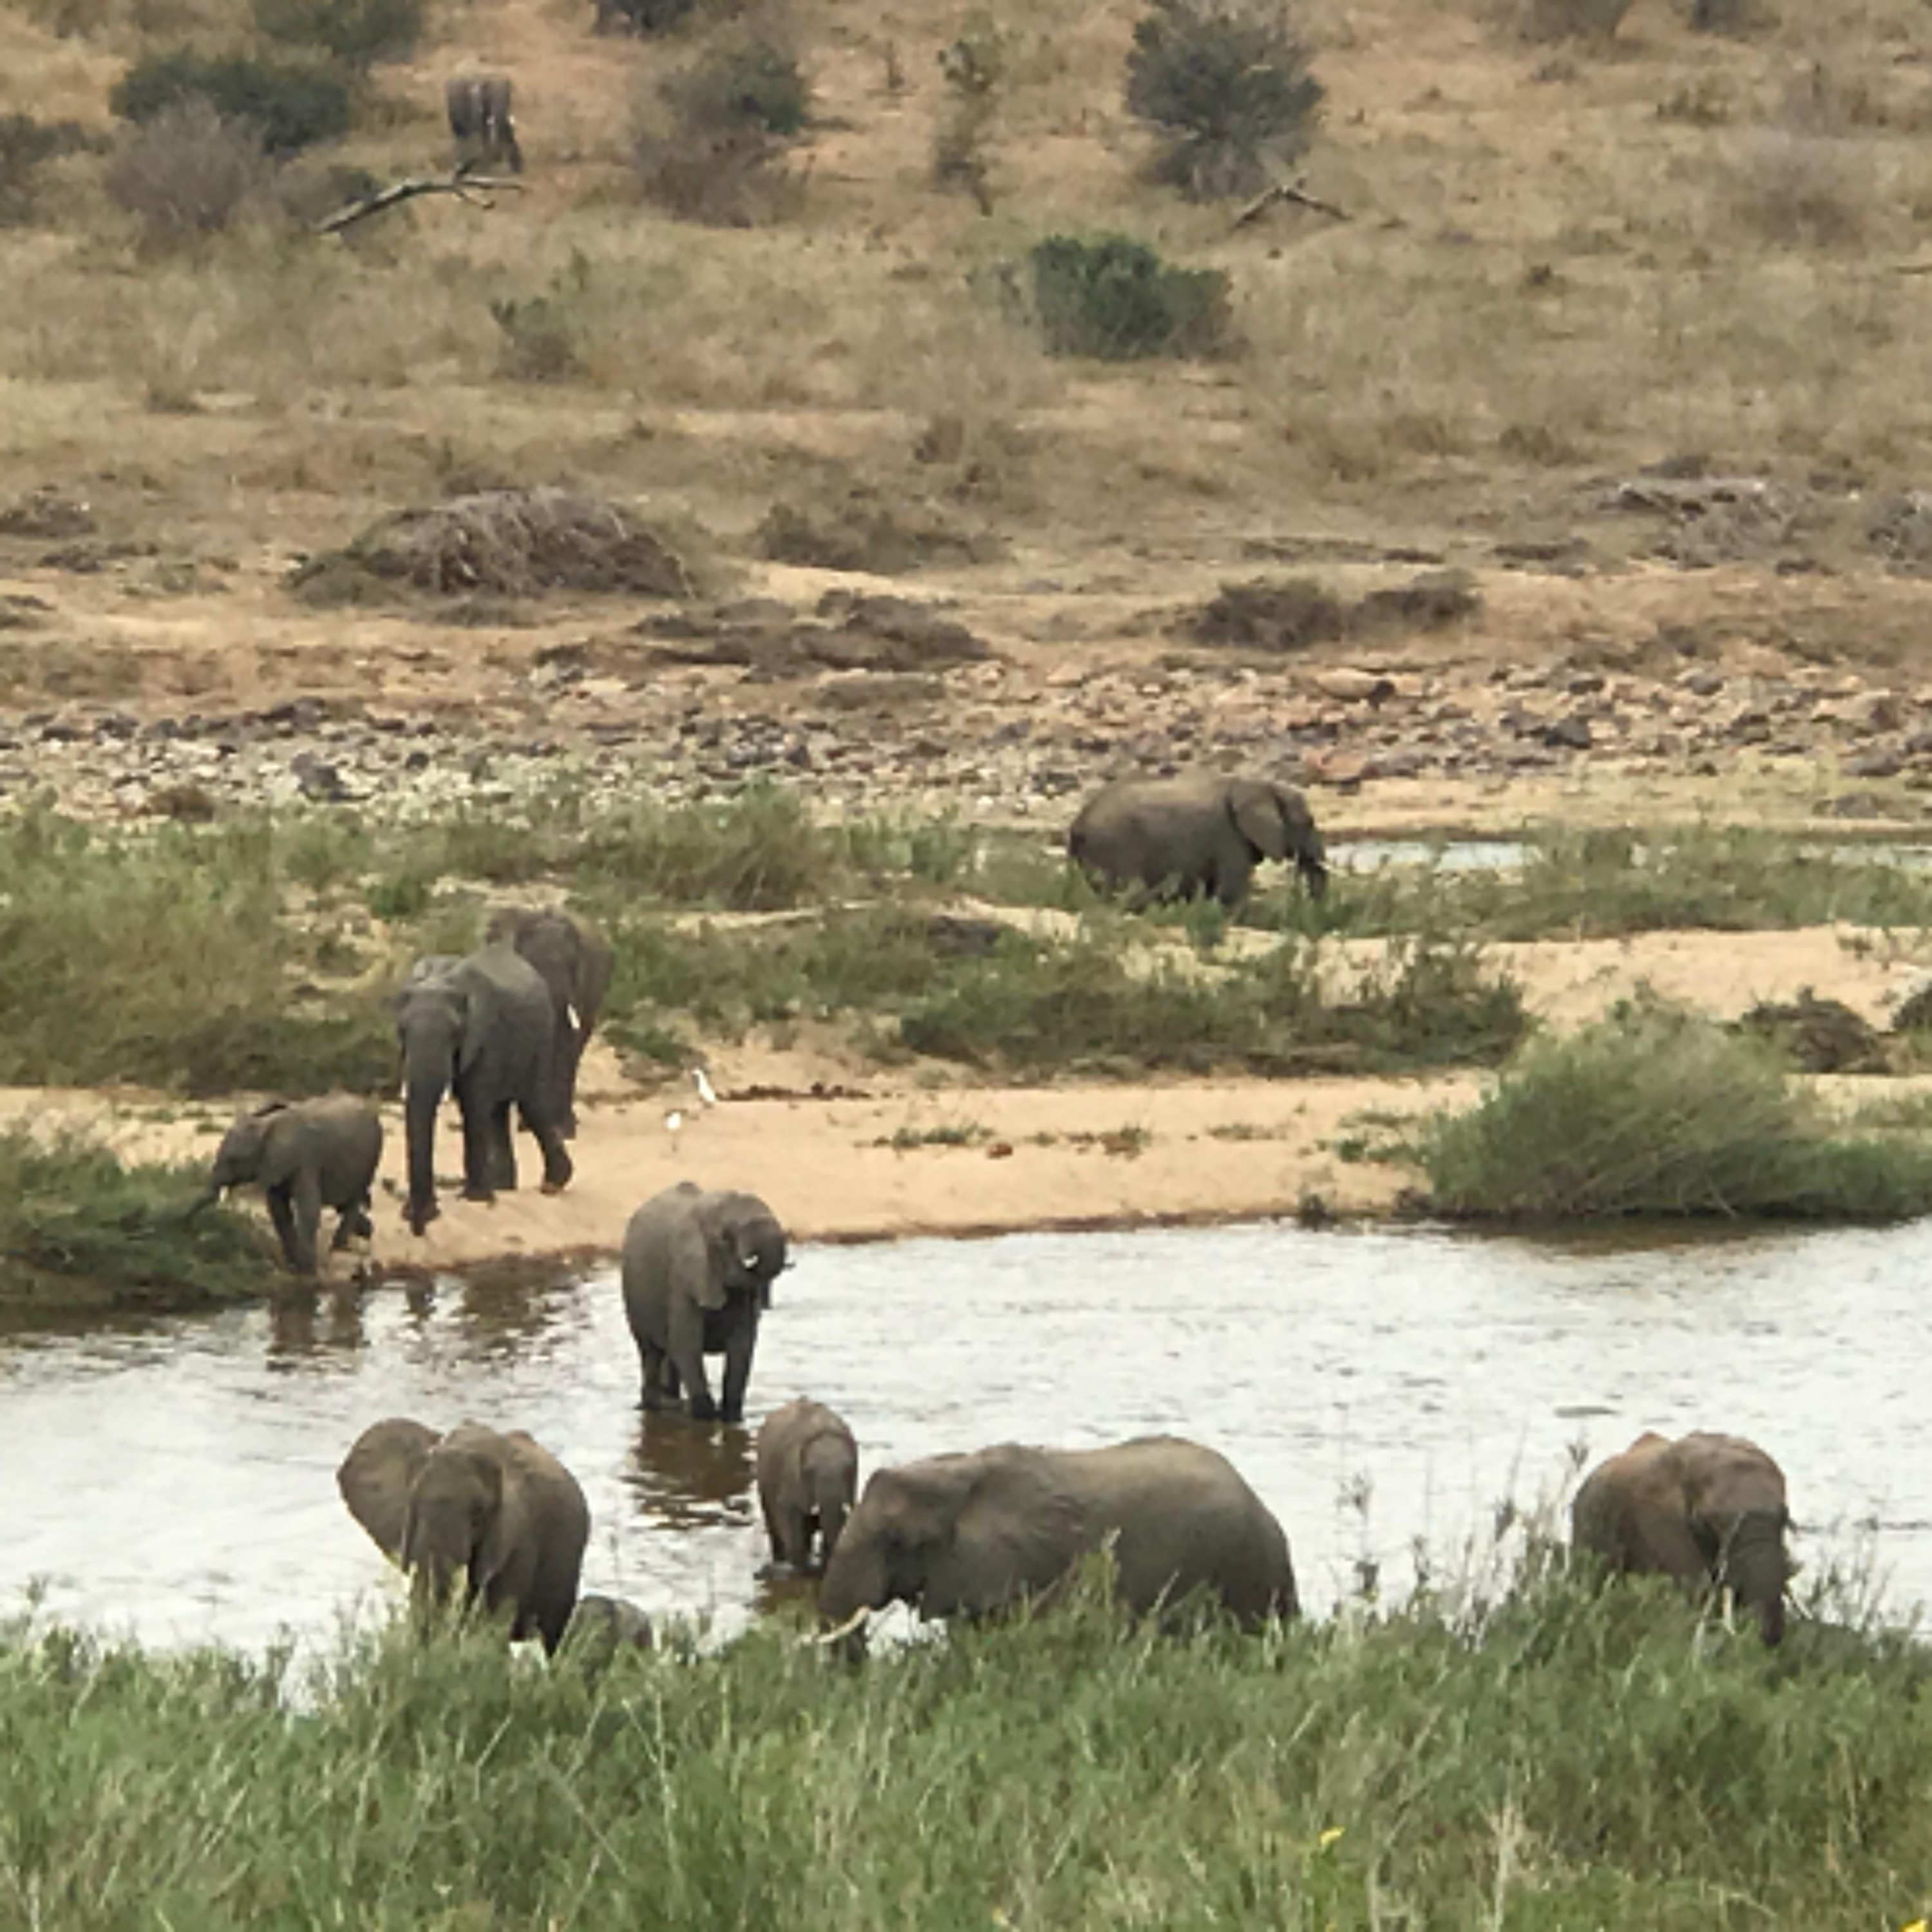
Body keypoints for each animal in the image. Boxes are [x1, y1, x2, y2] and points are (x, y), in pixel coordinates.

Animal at [195, 1093, 381, 1277]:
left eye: (234, 1160)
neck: (266, 1126)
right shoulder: (272, 1165)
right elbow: (279, 1211)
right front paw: (293, 1267)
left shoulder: (307, 1161)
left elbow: (308, 1209)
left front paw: (308, 1273)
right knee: (342, 1204)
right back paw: (366, 1232)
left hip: (370, 1161)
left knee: (353, 1201)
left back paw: (339, 1247)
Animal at [395, 942, 572, 1236]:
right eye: (401, 1031)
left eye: (455, 1033)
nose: (420, 1220)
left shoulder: (486, 1035)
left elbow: (473, 1105)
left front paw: (475, 1199)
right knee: (499, 1112)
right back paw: (503, 1187)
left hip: (543, 1035)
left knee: (532, 1105)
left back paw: (552, 1185)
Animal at [620, 1182, 788, 1424]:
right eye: (726, 1236)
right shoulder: (682, 1276)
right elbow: (686, 1343)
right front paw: (706, 1416)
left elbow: (742, 1345)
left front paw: (731, 1418)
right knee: (650, 1351)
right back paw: (659, 1405)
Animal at [1067, 772, 1328, 910]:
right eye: (1309, 822)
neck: (1258, 784)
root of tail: (1077, 823)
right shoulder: (1228, 837)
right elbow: (1231, 889)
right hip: (1116, 841)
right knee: (1130, 887)